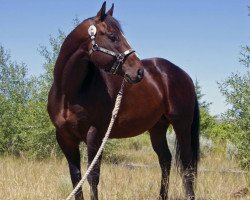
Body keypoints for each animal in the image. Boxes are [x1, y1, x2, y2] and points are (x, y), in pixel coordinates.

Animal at [47, 1, 200, 200]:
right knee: (165, 160)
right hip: (157, 128)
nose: (139, 71)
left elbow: (92, 177)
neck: (68, 93)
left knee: (187, 166)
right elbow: (76, 179)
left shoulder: (95, 135)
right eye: (113, 37)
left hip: (181, 125)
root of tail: (183, 74)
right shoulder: (65, 138)